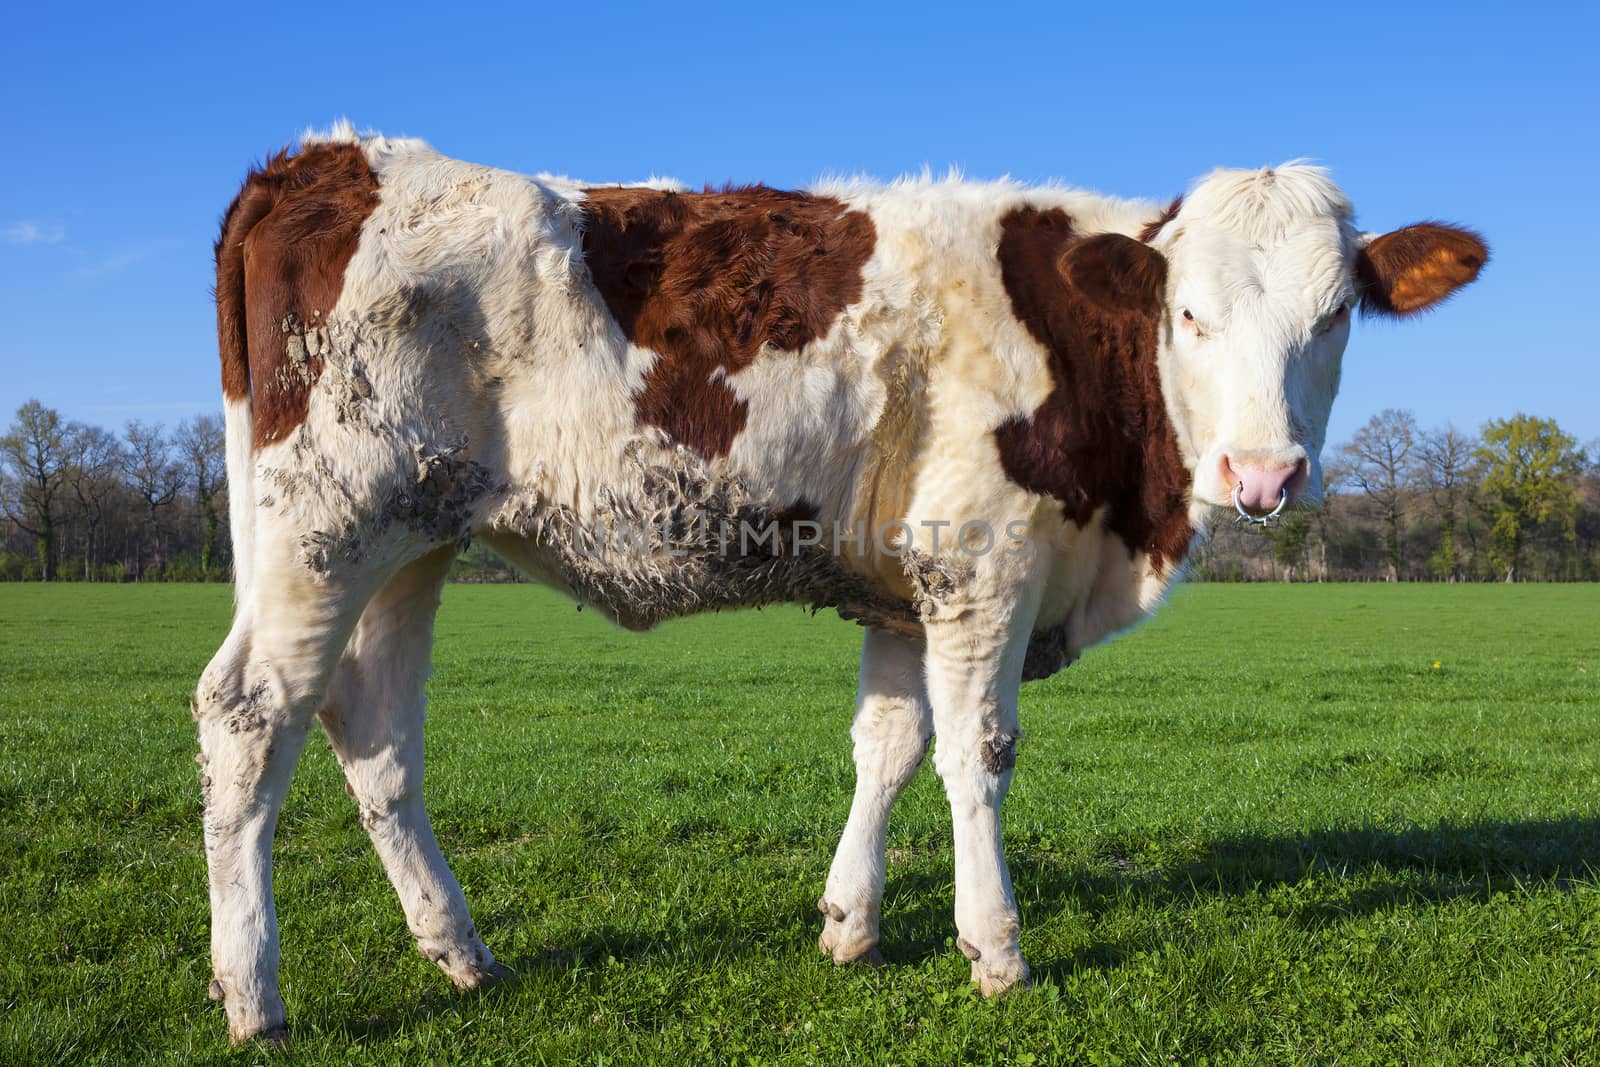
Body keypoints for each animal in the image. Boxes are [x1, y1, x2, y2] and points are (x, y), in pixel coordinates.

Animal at [196, 123, 1484, 1043]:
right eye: (1188, 313)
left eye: (1336, 316)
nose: (1262, 472)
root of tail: (326, 156)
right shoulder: (982, 557)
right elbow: (976, 752)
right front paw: (995, 947)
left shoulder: (907, 582)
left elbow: (888, 743)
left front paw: (850, 923)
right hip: (326, 520)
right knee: (250, 714)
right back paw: (254, 992)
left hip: (412, 537)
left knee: (372, 731)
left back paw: (459, 949)